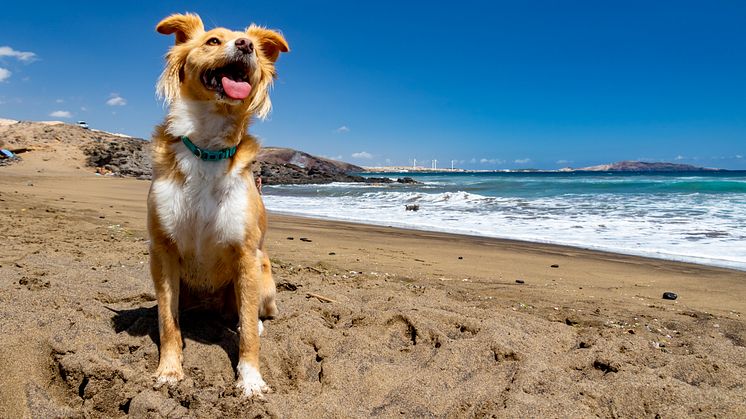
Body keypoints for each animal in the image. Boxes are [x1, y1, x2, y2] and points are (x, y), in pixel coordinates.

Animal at [146, 13, 288, 398]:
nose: (246, 45)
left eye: (252, 46)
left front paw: (250, 379)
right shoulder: (162, 251)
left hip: (263, 275)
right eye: (212, 41)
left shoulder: (246, 254)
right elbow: (168, 321)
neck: (208, 147)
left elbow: (249, 334)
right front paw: (169, 370)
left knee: (251, 315)